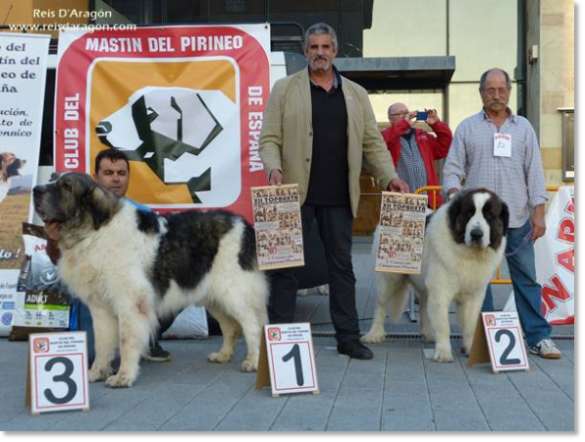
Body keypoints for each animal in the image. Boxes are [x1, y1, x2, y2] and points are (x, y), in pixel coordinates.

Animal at [33, 173, 266, 386]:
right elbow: (102, 345)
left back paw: (254, 362)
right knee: (231, 327)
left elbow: (126, 340)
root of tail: (245, 224)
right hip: (214, 297)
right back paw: (224, 354)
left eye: (66, 186)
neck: (92, 233)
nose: (35, 190)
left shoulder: (130, 303)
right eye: (53, 177)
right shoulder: (100, 309)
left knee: (253, 326)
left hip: (234, 293)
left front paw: (123, 377)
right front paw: (95, 373)